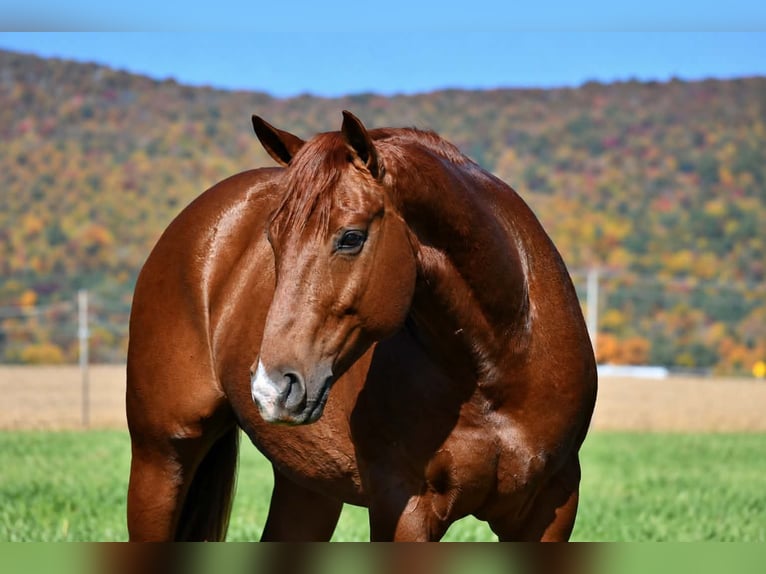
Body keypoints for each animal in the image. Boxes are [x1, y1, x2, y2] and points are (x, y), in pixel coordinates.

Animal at [126, 111, 597, 541]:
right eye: (273, 239)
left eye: (351, 237)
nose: (271, 389)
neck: (500, 365)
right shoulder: (403, 509)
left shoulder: (552, 508)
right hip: (160, 458)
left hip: (305, 487)